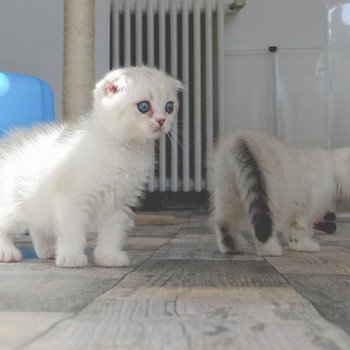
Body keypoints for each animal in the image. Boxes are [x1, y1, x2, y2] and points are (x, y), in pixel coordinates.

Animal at [0, 66, 182, 268]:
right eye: (143, 106)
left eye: (169, 107)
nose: (162, 120)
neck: (125, 151)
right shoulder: (72, 198)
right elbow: (72, 231)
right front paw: (71, 257)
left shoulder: (119, 203)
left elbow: (112, 233)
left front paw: (108, 256)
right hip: (13, 205)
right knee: (6, 225)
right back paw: (7, 252)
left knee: (36, 225)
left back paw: (47, 250)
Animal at [209, 130, 350, 256]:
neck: (332, 169)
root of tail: (241, 140)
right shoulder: (306, 207)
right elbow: (300, 229)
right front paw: (304, 246)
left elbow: (292, 229)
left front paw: (297, 245)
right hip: (270, 195)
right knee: (264, 224)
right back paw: (270, 250)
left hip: (226, 193)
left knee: (223, 223)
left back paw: (232, 247)